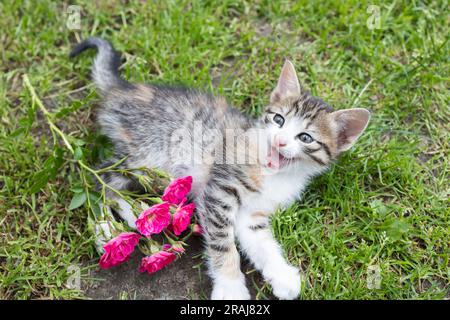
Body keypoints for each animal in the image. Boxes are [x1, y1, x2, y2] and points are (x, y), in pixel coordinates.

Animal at [71, 37, 370, 300]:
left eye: (305, 138)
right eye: (279, 119)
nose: (280, 140)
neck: (275, 175)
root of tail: (121, 89)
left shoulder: (251, 215)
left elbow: (262, 244)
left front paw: (282, 276)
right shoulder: (219, 192)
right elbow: (223, 245)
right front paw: (230, 287)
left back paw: (136, 215)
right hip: (146, 156)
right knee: (97, 177)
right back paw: (106, 228)